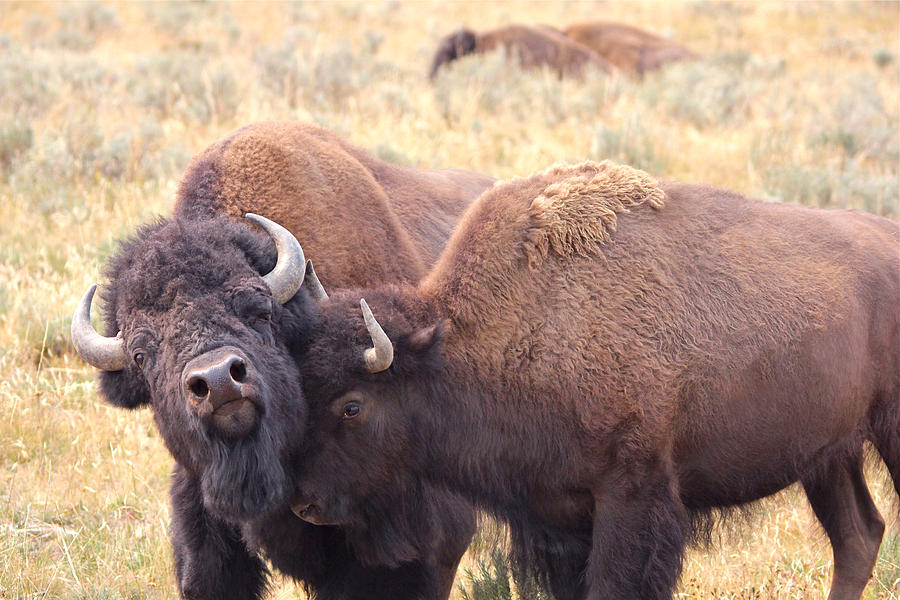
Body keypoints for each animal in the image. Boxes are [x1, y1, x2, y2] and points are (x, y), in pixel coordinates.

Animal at [290, 161, 900, 600]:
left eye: (352, 406)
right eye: (304, 392)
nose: (303, 502)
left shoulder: (630, 494)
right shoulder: (558, 519)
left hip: (884, 432)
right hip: (829, 455)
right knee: (858, 536)